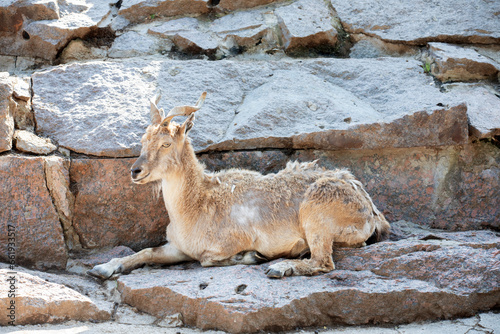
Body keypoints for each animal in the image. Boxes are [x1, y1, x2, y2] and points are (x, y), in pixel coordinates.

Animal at [88, 92, 388, 280]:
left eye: (165, 144)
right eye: (142, 141)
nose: (135, 171)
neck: (196, 205)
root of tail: (370, 209)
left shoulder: (227, 243)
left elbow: (207, 260)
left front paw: (251, 256)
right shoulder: (177, 247)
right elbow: (146, 251)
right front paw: (103, 267)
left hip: (316, 217)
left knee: (323, 261)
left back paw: (280, 267)